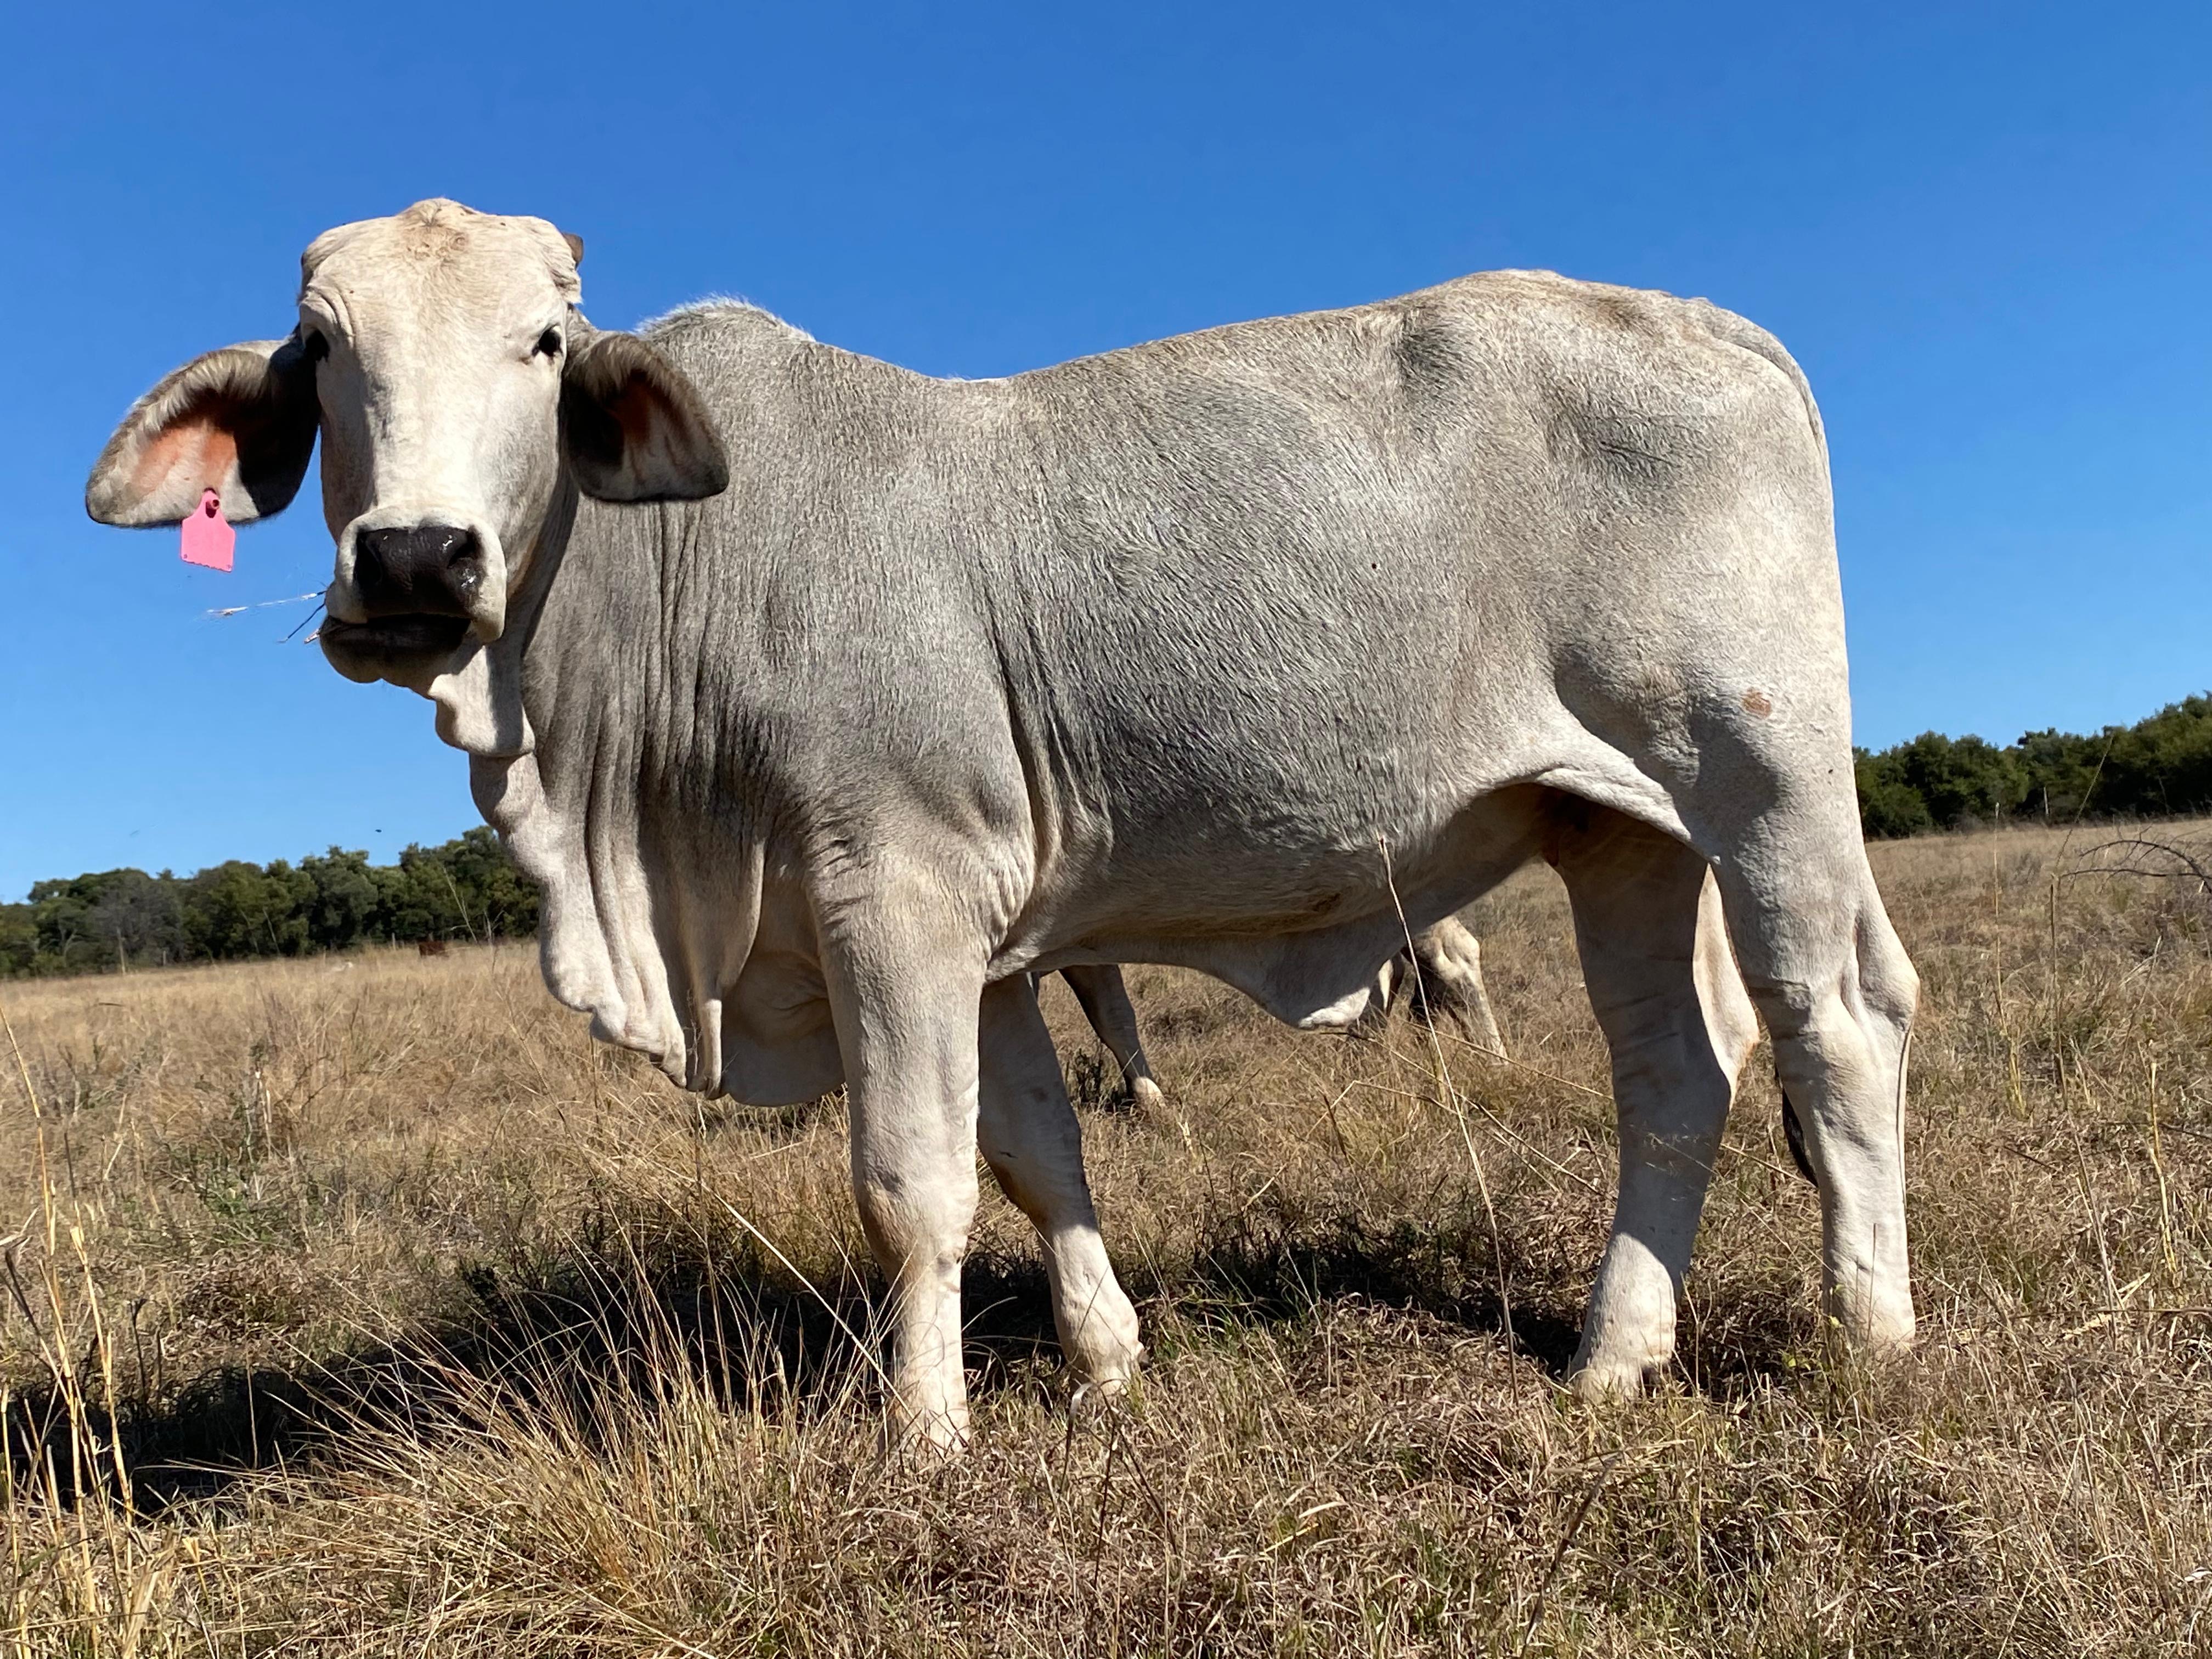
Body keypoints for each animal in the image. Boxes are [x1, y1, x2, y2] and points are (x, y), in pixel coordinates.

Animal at [87, 200, 1919, 1450]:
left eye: (543, 343)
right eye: (325, 350)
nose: (415, 560)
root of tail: (1711, 323)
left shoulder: (890, 891)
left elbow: (912, 1179)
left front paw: (926, 1427)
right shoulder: (988, 941)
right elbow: (1037, 1152)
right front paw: (1105, 1361)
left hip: (1760, 787)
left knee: (1836, 1031)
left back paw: (1871, 1336)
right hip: (1617, 826)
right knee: (1676, 1075)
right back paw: (1615, 1356)